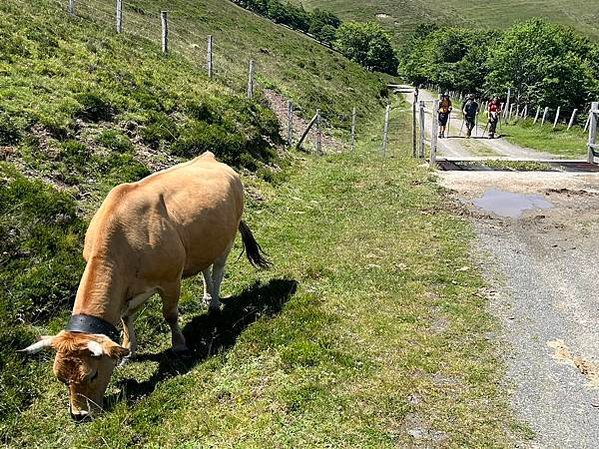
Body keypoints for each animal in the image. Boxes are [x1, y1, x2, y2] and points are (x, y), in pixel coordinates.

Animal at [20, 151, 270, 420]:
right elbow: (125, 319)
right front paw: (128, 351)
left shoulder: (170, 280)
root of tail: (209, 157)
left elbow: (170, 315)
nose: (79, 415)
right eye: (60, 378)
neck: (124, 243)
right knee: (205, 268)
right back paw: (206, 295)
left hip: (228, 236)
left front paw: (179, 345)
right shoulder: (130, 291)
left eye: (92, 375)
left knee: (219, 270)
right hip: (204, 243)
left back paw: (213, 303)